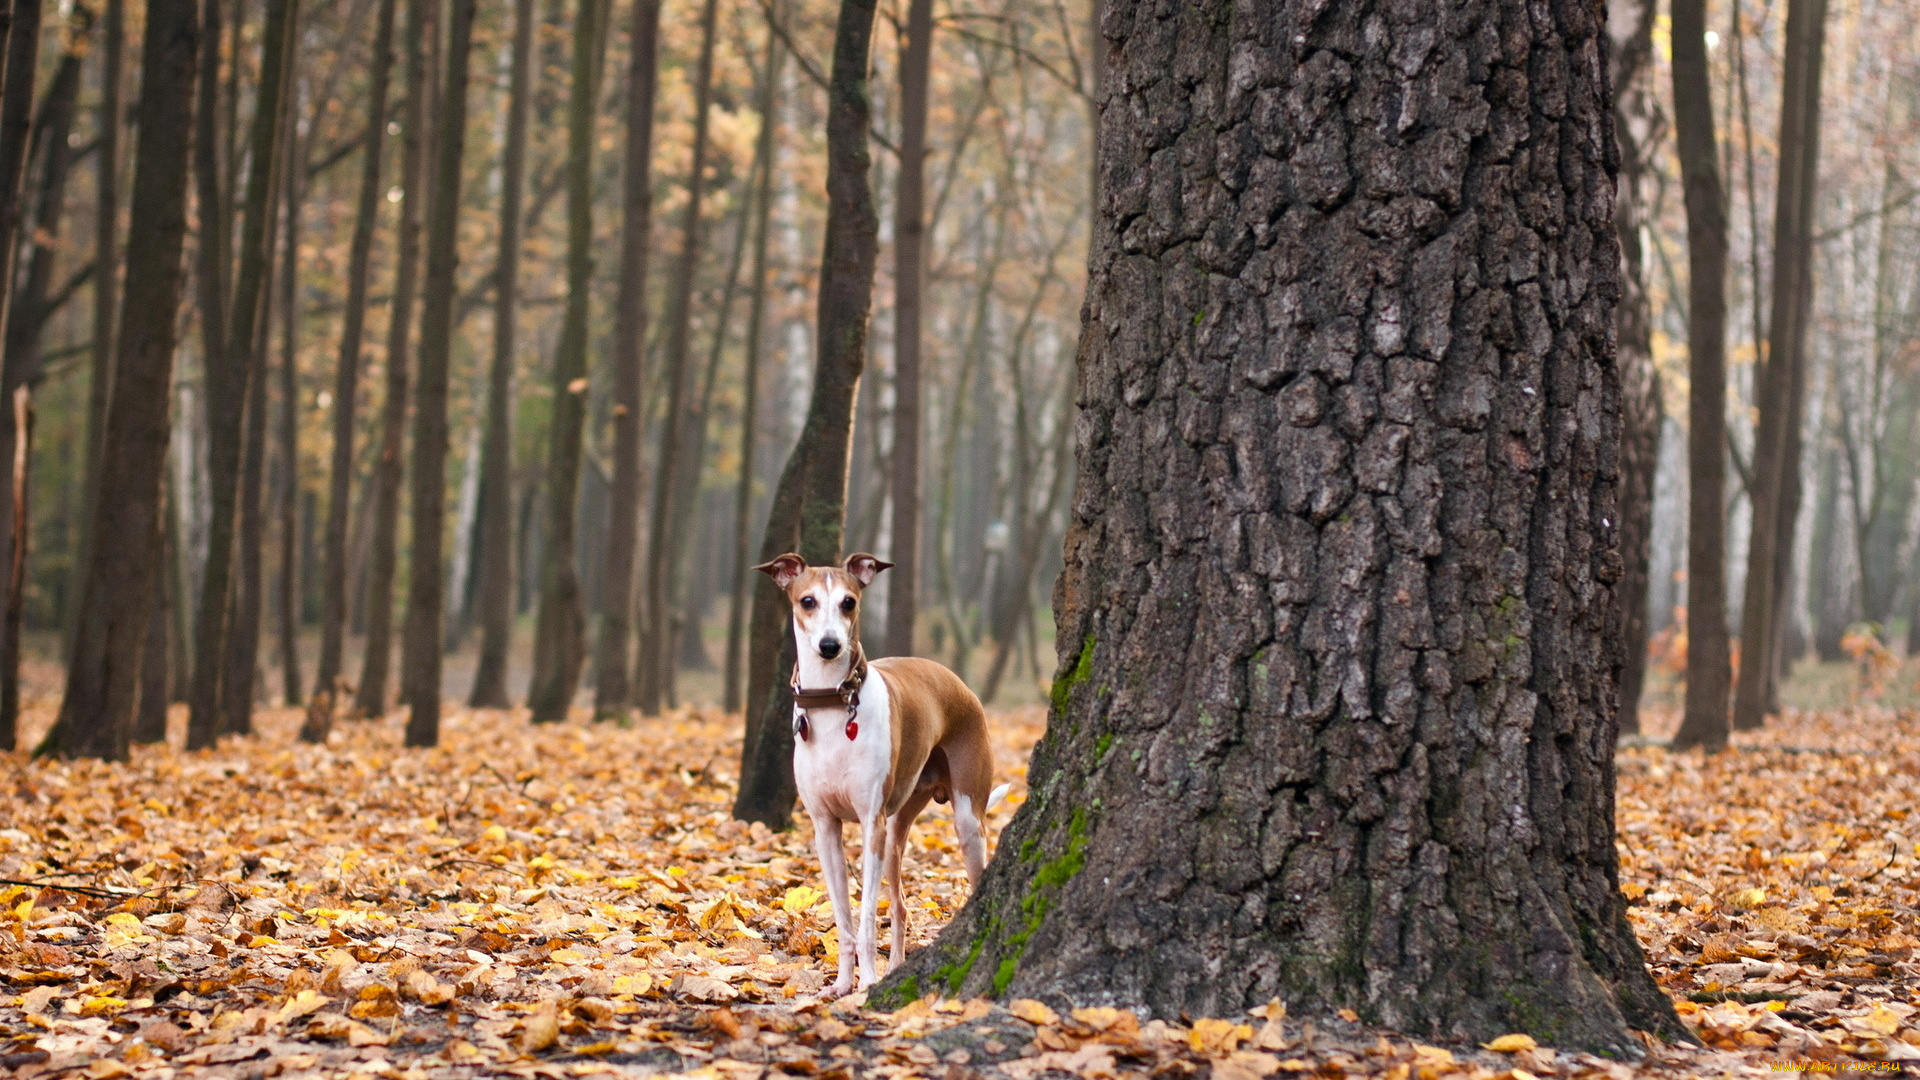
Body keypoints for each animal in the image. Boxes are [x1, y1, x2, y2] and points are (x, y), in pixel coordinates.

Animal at [756, 549, 1013, 999]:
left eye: (849, 602)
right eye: (807, 601)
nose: (829, 646)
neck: (833, 704)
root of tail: (956, 681)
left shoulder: (869, 823)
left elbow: (864, 921)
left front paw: (868, 982)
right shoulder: (825, 827)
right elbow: (844, 919)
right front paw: (842, 984)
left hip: (964, 821)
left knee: (971, 877)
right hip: (895, 833)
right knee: (902, 906)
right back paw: (895, 967)